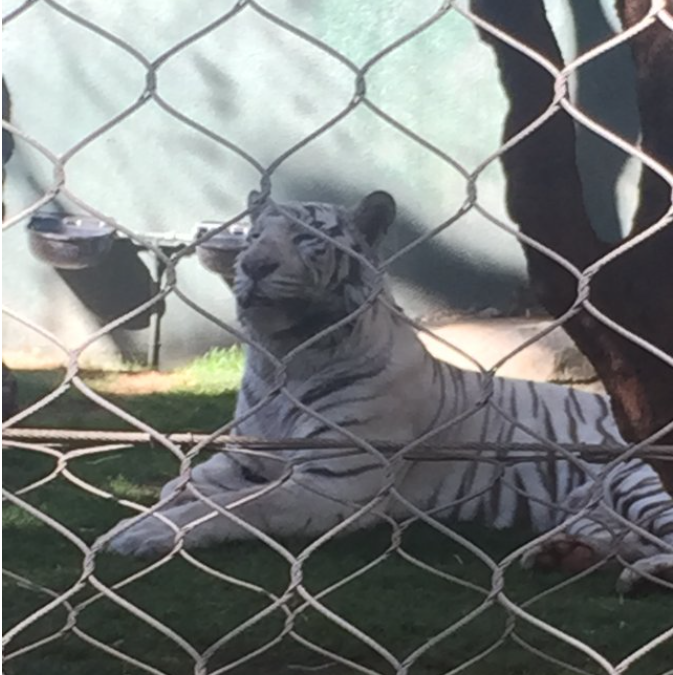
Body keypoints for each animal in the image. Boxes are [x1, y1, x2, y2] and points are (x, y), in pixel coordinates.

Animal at [106, 190, 672, 592]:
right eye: (253, 236)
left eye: (309, 238)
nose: (253, 265)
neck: (285, 357)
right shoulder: (242, 461)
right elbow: (178, 490)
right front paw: (142, 519)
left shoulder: (332, 482)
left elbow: (239, 508)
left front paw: (140, 534)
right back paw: (565, 554)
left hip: (635, 475)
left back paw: (645, 574)